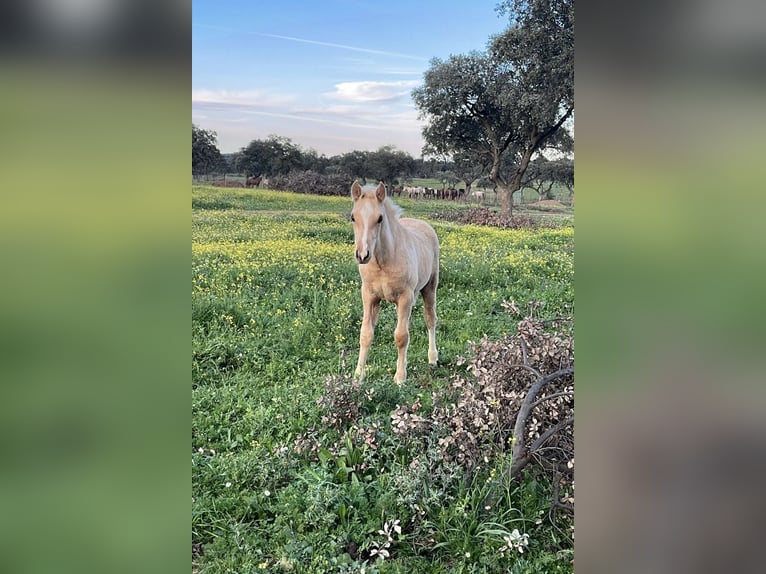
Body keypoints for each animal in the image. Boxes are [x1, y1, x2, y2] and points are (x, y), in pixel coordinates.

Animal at [352, 182, 440, 384]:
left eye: (380, 218)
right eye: (353, 217)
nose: (362, 255)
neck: (383, 262)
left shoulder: (405, 297)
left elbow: (401, 336)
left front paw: (400, 377)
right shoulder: (369, 296)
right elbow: (365, 334)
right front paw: (359, 375)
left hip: (429, 287)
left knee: (430, 319)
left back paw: (433, 358)